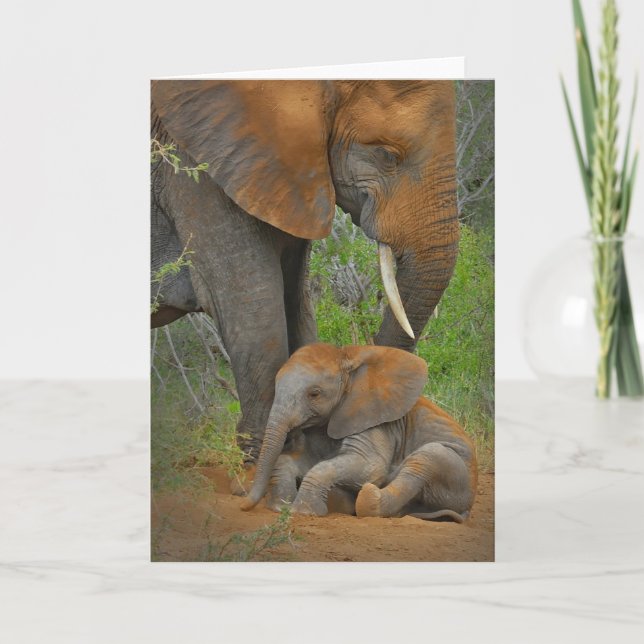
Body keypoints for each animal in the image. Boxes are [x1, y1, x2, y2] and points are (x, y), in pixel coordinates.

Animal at [240, 343, 477, 521]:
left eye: (314, 394)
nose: (243, 507)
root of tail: (467, 507)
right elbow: (302, 460)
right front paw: (280, 507)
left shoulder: (376, 421)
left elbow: (369, 465)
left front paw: (303, 512)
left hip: (456, 475)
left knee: (426, 458)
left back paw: (368, 496)